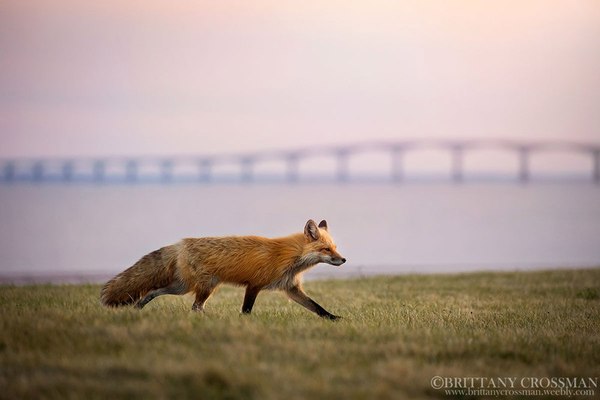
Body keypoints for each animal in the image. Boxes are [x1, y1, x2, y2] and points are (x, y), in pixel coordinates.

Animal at [100, 220, 346, 320]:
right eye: (326, 249)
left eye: (335, 247)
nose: (343, 259)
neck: (289, 256)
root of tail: (180, 243)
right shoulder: (254, 285)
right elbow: (246, 309)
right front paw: (243, 321)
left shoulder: (290, 288)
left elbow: (317, 307)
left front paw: (334, 319)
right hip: (205, 286)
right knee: (195, 307)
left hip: (182, 286)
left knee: (154, 292)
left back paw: (138, 307)